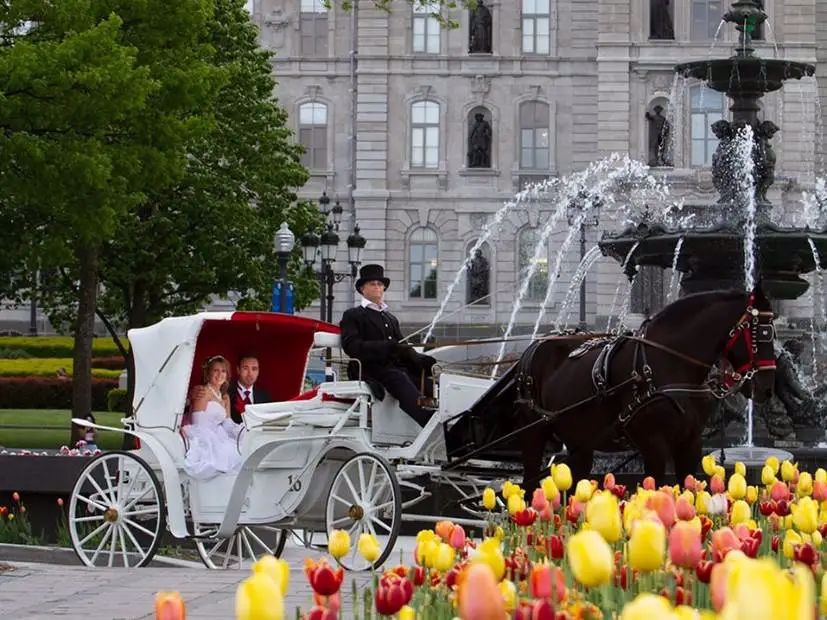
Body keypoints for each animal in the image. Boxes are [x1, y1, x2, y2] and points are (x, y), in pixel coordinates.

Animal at [445, 289, 777, 488]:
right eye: (761, 333)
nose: (766, 388)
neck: (668, 364)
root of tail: (533, 348)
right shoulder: (653, 444)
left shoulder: (690, 443)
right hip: (534, 434)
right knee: (528, 488)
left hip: (578, 441)